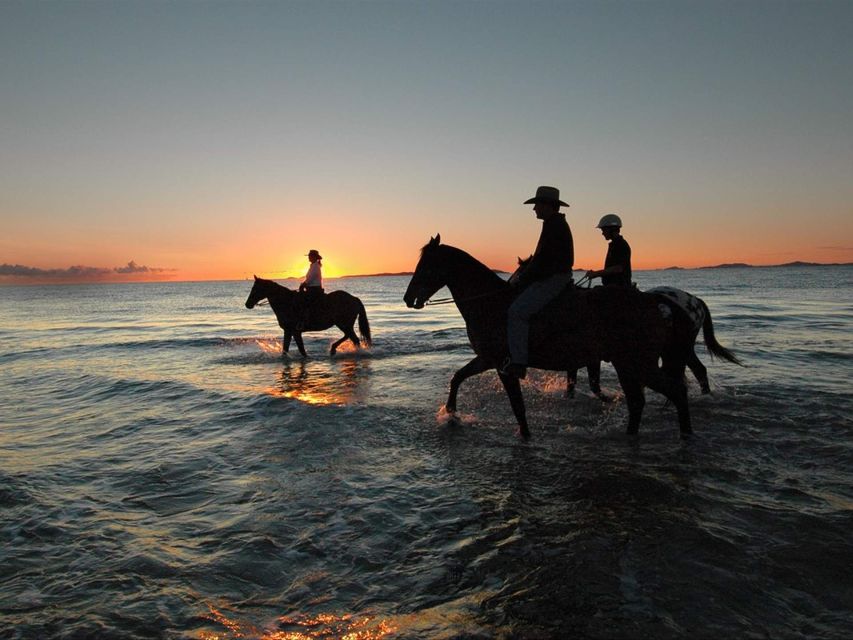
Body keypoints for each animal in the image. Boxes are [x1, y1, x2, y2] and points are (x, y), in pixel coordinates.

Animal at [402, 235, 724, 440]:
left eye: (426, 266)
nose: (408, 298)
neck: (491, 303)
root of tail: (657, 302)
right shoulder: (487, 359)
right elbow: (458, 377)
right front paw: (451, 413)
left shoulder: (504, 365)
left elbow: (518, 407)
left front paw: (525, 436)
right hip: (630, 365)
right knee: (641, 401)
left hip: (639, 364)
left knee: (676, 389)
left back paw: (685, 434)